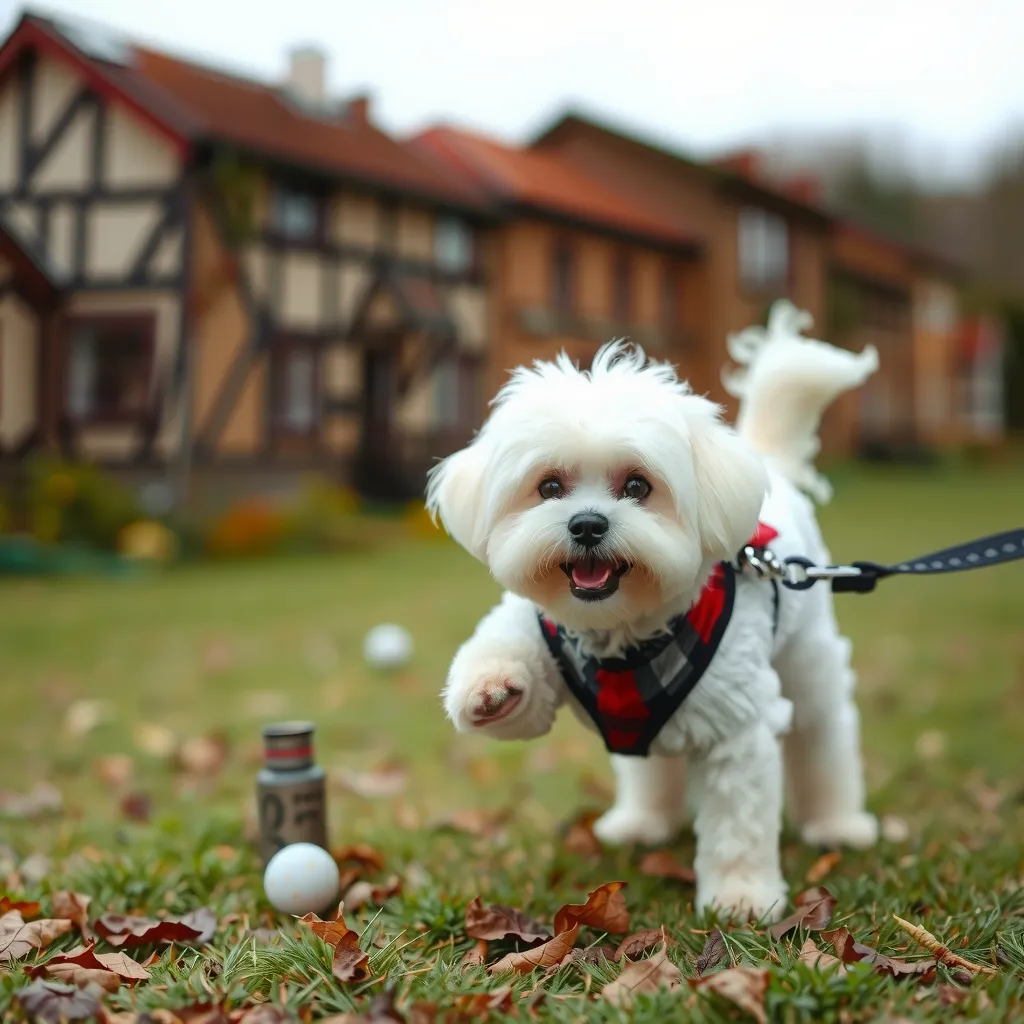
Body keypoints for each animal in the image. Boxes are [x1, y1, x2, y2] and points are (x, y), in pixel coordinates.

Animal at [428, 299, 884, 917]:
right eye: (549, 487)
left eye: (638, 486)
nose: (587, 524)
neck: (623, 633)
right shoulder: (540, 629)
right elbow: (511, 661)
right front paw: (492, 688)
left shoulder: (738, 729)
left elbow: (738, 826)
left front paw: (741, 896)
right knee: (655, 767)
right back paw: (643, 822)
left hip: (806, 658)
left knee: (824, 731)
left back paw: (837, 823)